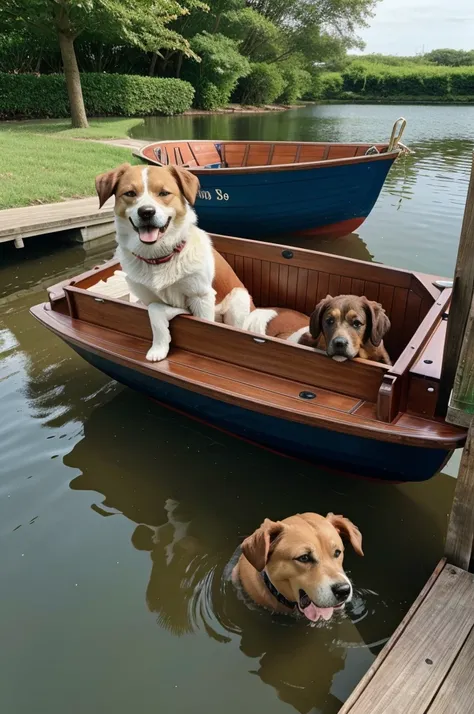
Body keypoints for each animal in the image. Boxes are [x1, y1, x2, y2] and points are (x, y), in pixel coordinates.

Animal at [94, 162, 254, 362]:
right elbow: (155, 311)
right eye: (130, 193)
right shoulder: (151, 300)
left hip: (238, 300)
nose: (146, 212)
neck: (158, 258)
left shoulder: (200, 297)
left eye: (164, 193)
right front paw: (159, 348)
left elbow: (205, 325)